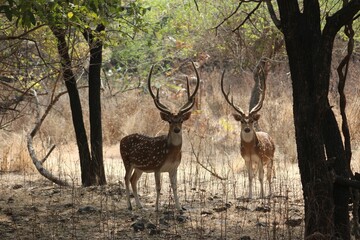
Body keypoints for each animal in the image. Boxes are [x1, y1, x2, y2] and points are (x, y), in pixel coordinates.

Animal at [120, 62, 200, 211]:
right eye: (170, 121)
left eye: (181, 120)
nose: (176, 130)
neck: (171, 153)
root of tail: (121, 140)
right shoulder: (157, 166)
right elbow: (158, 188)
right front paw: (157, 208)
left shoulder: (174, 168)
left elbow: (175, 187)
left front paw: (179, 208)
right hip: (126, 160)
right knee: (126, 178)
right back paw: (129, 205)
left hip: (139, 167)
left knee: (133, 180)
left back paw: (141, 206)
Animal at [219, 61, 276, 198]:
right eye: (241, 121)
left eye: (251, 120)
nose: (247, 129)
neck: (250, 149)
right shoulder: (247, 159)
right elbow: (250, 177)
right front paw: (250, 196)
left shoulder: (260, 158)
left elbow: (261, 177)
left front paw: (262, 195)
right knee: (259, 175)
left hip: (271, 157)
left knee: (268, 176)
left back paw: (270, 193)